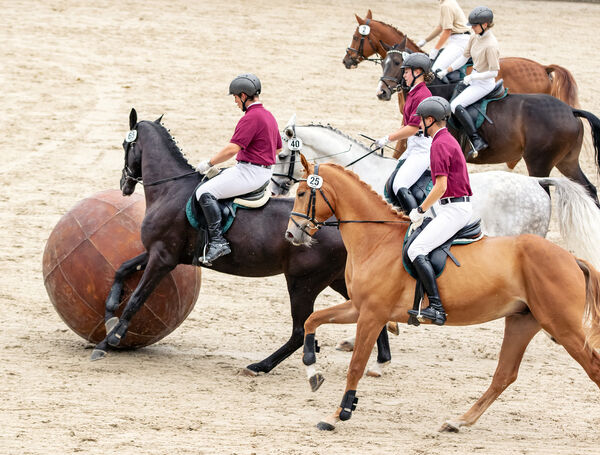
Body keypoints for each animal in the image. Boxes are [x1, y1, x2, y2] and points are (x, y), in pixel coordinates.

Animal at [91, 108, 394, 378]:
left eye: (125, 145)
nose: (124, 184)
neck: (170, 189)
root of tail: (338, 222)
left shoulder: (162, 258)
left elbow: (137, 299)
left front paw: (108, 341)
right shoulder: (162, 253)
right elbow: (122, 270)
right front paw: (109, 312)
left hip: (302, 283)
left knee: (299, 331)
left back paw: (260, 366)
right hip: (335, 279)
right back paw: (379, 360)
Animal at [284, 159, 600, 432]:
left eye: (301, 193)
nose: (291, 235)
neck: (377, 240)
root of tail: (572, 259)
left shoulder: (373, 314)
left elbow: (356, 366)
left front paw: (339, 414)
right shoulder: (359, 308)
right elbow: (313, 320)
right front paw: (313, 373)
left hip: (563, 327)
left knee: (592, 368)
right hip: (523, 321)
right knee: (504, 374)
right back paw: (459, 421)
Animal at [378, 43, 600, 204]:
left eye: (397, 62)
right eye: (382, 62)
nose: (382, 92)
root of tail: (570, 110)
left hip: (539, 163)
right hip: (567, 161)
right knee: (589, 189)